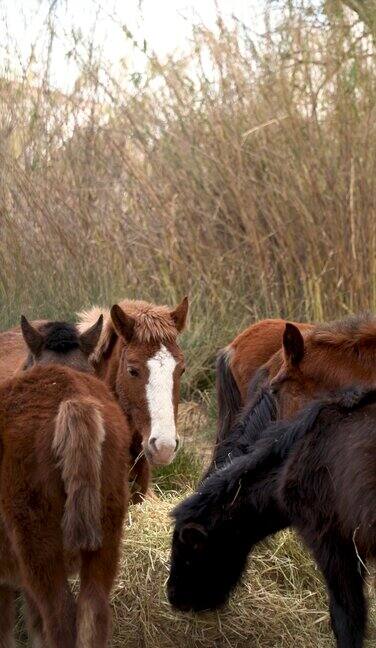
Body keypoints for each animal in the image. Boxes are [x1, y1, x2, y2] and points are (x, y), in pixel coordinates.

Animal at [0, 318, 131, 648]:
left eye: (26, 361)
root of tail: (73, 401)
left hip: (39, 548)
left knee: (58, 616)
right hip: (105, 539)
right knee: (93, 612)